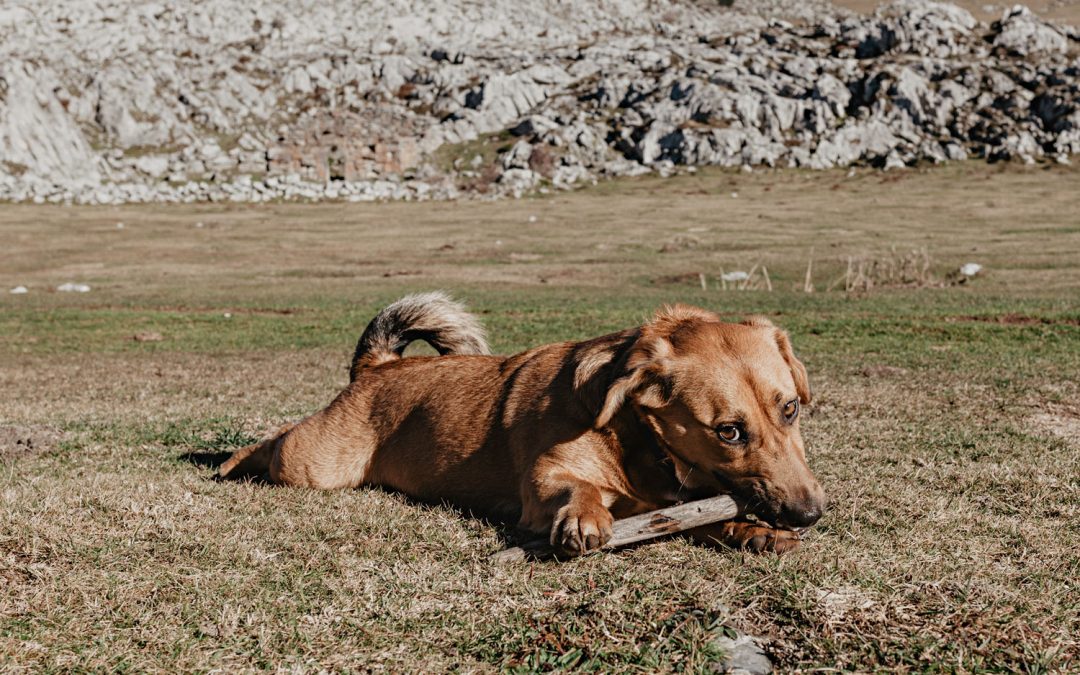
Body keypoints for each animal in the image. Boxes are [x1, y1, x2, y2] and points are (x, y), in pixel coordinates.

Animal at [221, 293, 825, 552]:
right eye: (728, 431)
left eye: (790, 409)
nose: (811, 514)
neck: (636, 439)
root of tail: (380, 366)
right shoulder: (544, 479)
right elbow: (578, 489)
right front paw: (584, 517)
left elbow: (701, 518)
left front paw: (752, 531)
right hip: (315, 465)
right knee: (275, 442)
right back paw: (228, 461)